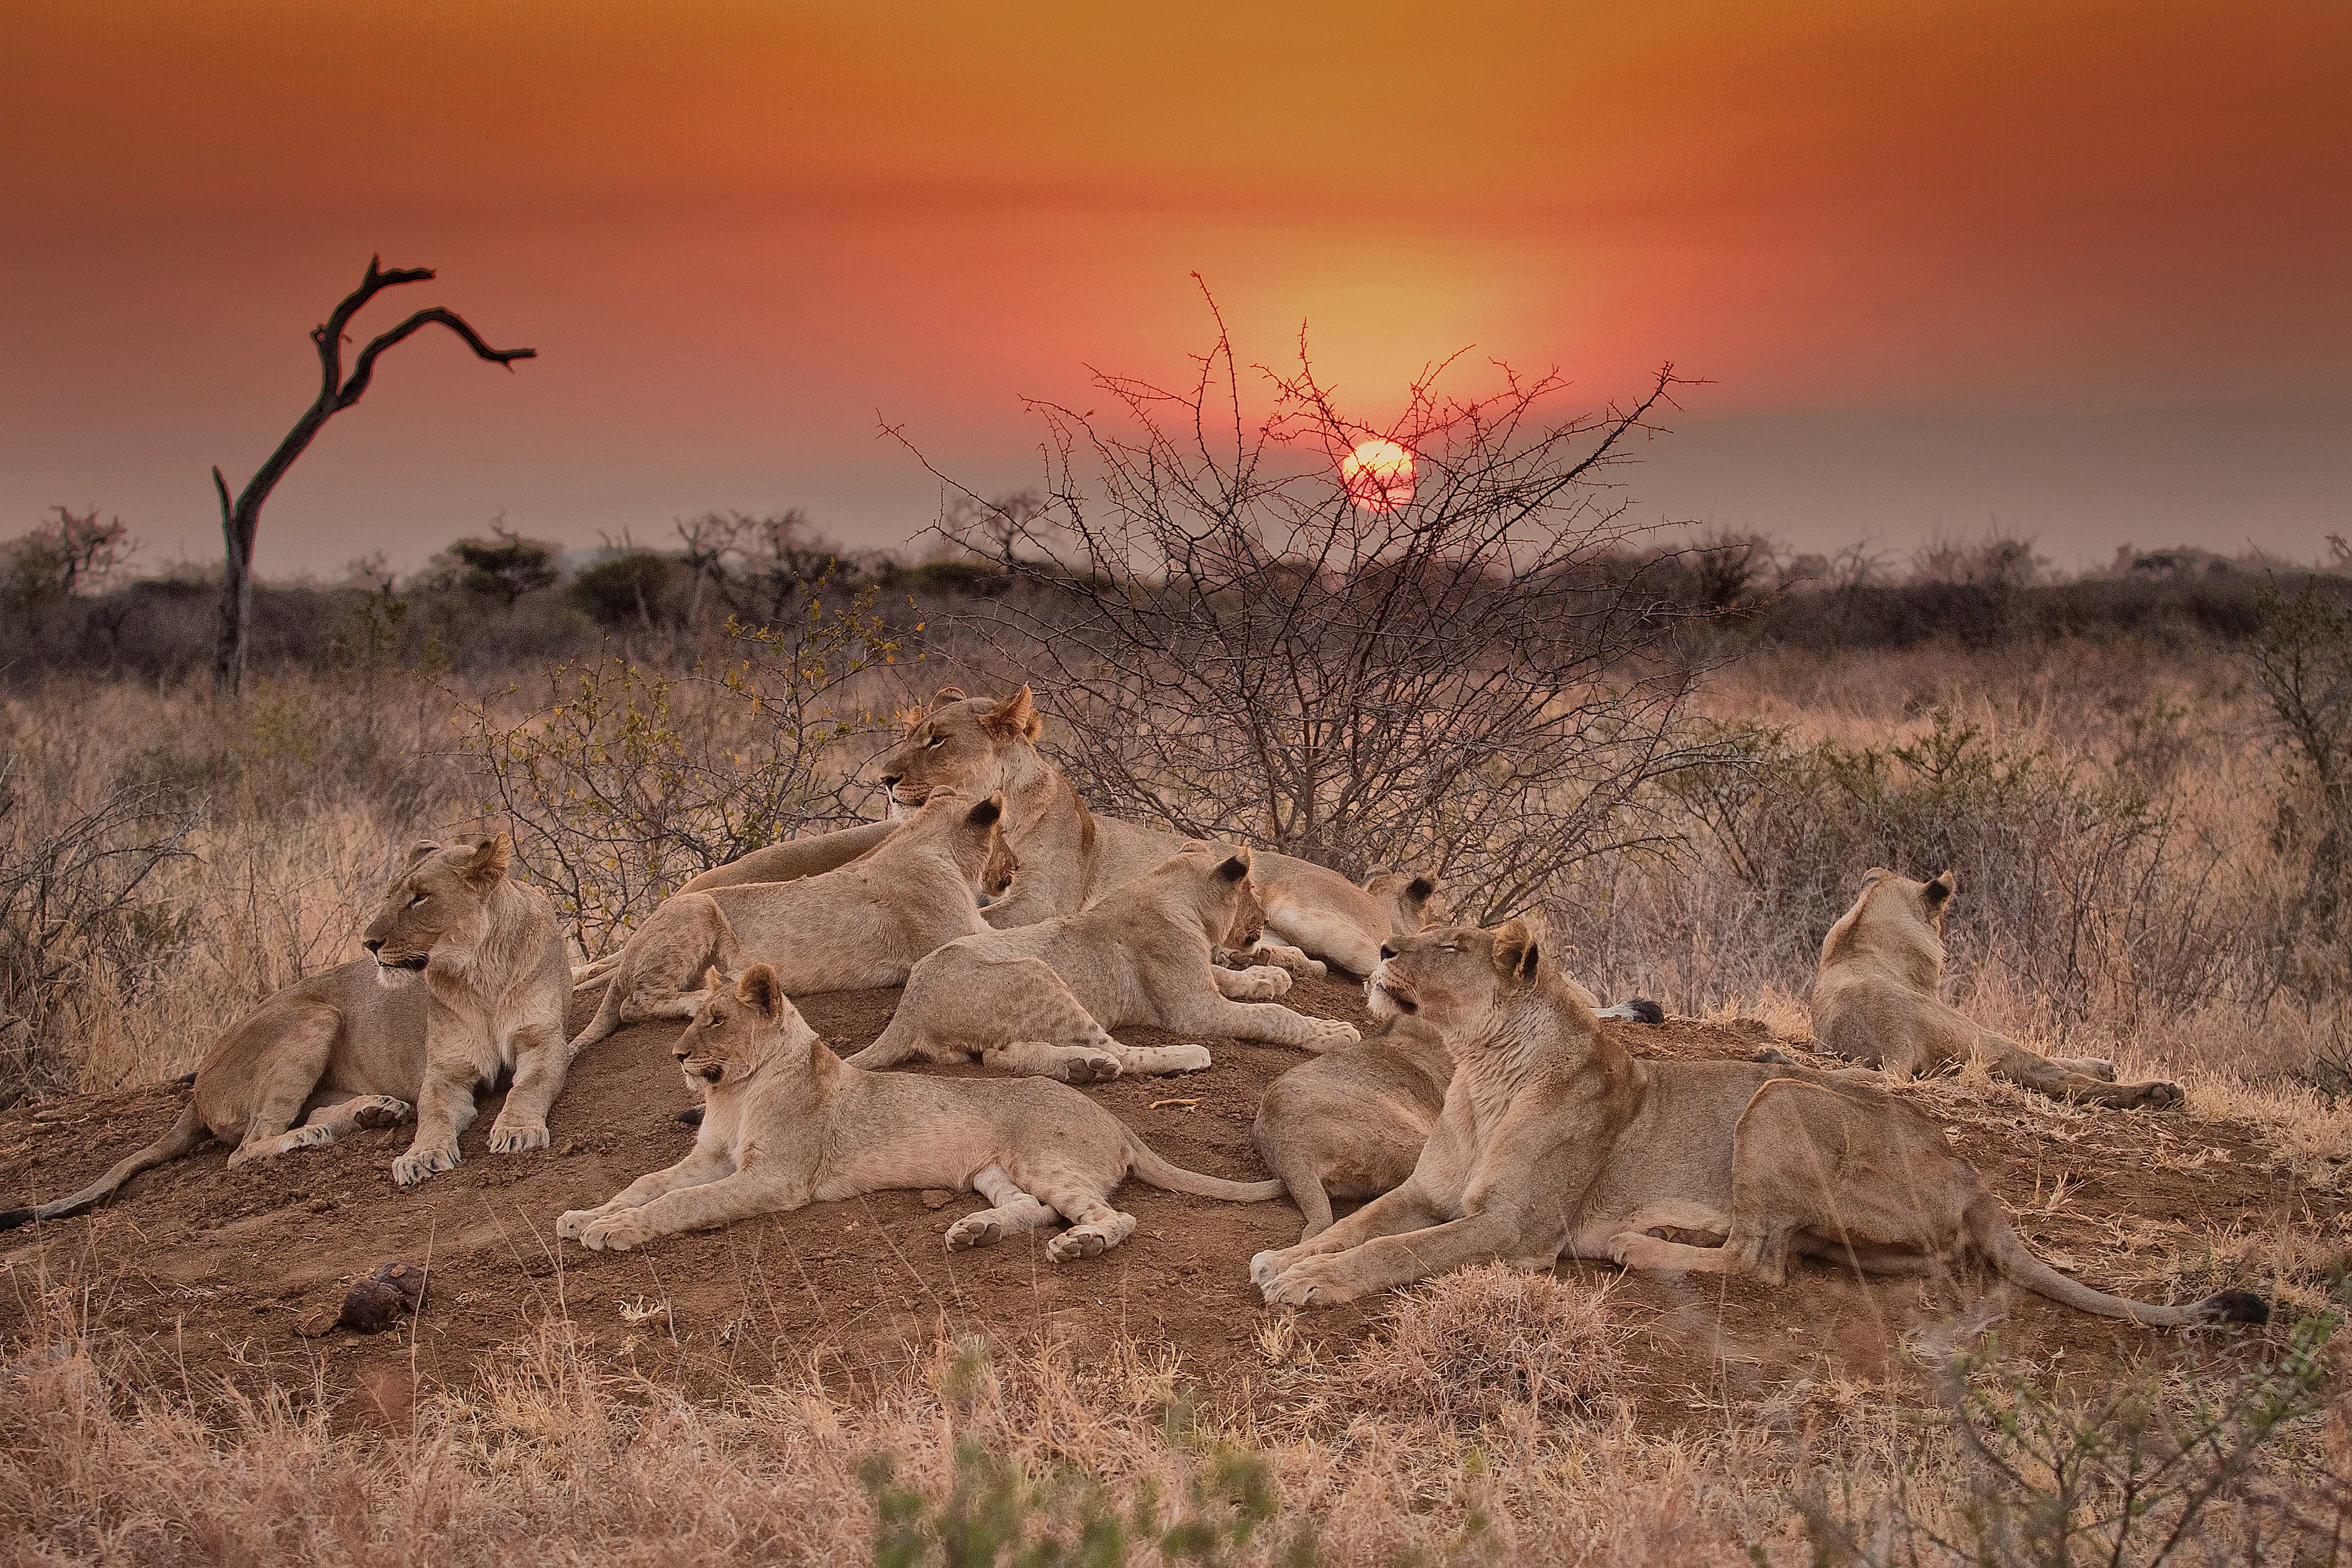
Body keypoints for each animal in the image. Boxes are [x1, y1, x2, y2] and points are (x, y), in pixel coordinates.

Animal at [0, 837, 572, 1228]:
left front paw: (517, 1130)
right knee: (245, 1148)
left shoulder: (545, 1041)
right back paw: (314, 1135)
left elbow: (528, 1086)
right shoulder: (445, 1071)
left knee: (296, 1120)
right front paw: (420, 1157)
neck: (479, 971)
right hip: (314, 1016)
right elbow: (433, 1114)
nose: (368, 943)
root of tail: (199, 1083)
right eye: (393, 895)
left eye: (420, 898)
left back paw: (371, 1113)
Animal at [555, 964, 1285, 1257]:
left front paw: (616, 1231)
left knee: (1113, 1215)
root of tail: (1117, 1120)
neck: (733, 1092)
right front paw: (585, 1216)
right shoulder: (712, 1156)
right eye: (694, 1015)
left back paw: (1080, 1245)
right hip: (991, 1170)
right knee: (1031, 1206)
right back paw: (975, 1231)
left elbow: (680, 1202)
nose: (676, 1054)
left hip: (1044, 1156)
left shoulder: (776, 1178)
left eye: (716, 1020)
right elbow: (647, 1182)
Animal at [567, 792, 1015, 1055]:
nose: (1015, 867)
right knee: (633, 1004)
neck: (937, 847)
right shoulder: (957, 933)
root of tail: (629, 950)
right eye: (1004, 834)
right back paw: (704, 997)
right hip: (698, 908)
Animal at [845, 842, 1360, 1081]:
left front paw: (1269, 975)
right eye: (1251, 891)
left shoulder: (1197, 978)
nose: (1265, 919)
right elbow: (1272, 1016)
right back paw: (1178, 1057)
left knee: (1002, 1054)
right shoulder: (1192, 1010)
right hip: (1039, 975)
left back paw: (1082, 1067)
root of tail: (909, 1009)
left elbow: (1228, 975)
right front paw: (1331, 1032)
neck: (1171, 893)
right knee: (1119, 1050)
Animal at [1246, 918, 2266, 1329]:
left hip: (1778, 1099)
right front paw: (1287, 1258)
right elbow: (1358, 1224)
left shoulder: (1514, 1227)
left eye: (1449, 945)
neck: (1481, 1070)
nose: (1384, 948)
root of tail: (1975, 1179)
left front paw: (1309, 1284)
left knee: (1762, 1261)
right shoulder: (1427, 1189)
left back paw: (1636, 1245)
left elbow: (1393, 1251)